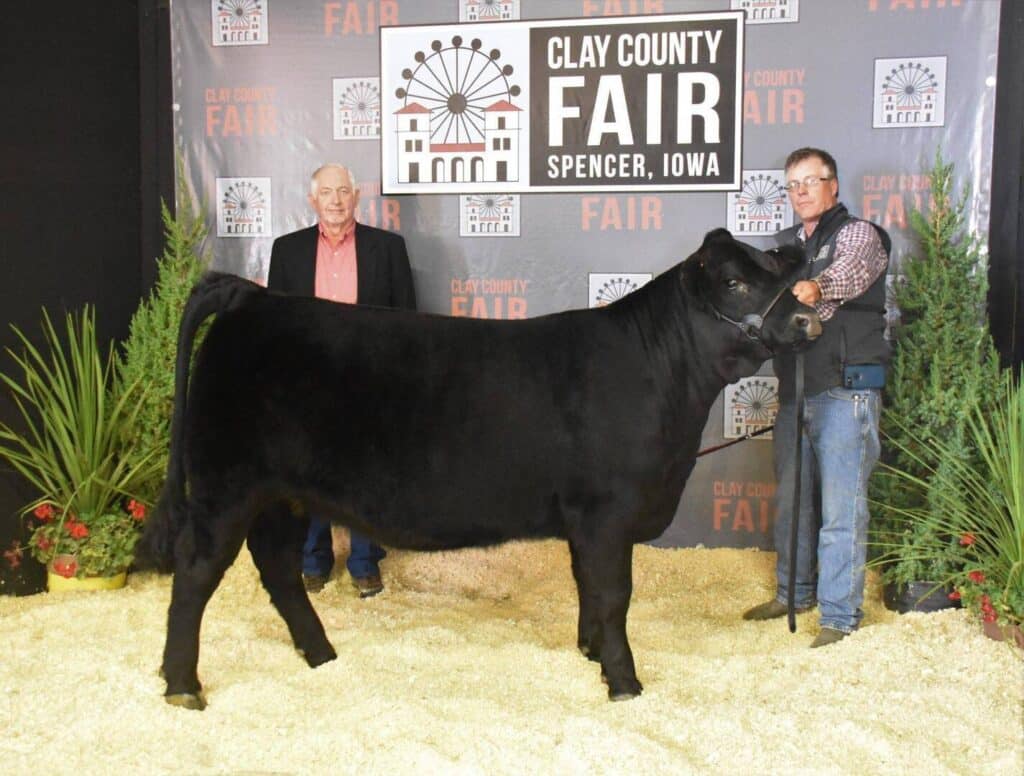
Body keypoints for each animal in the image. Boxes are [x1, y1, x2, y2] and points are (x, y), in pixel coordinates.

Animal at [138, 228, 821, 710]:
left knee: (277, 568)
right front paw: (624, 681)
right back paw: (182, 684)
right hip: (226, 486)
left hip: (278, 494)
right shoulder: (606, 513)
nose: (807, 319)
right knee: (196, 573)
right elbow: (612, 594)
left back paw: (320, 654)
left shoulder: (587, 522)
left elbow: (588, 590)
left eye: (774, 269)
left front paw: (590, 651)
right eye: (733, 283)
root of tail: (252, 296)